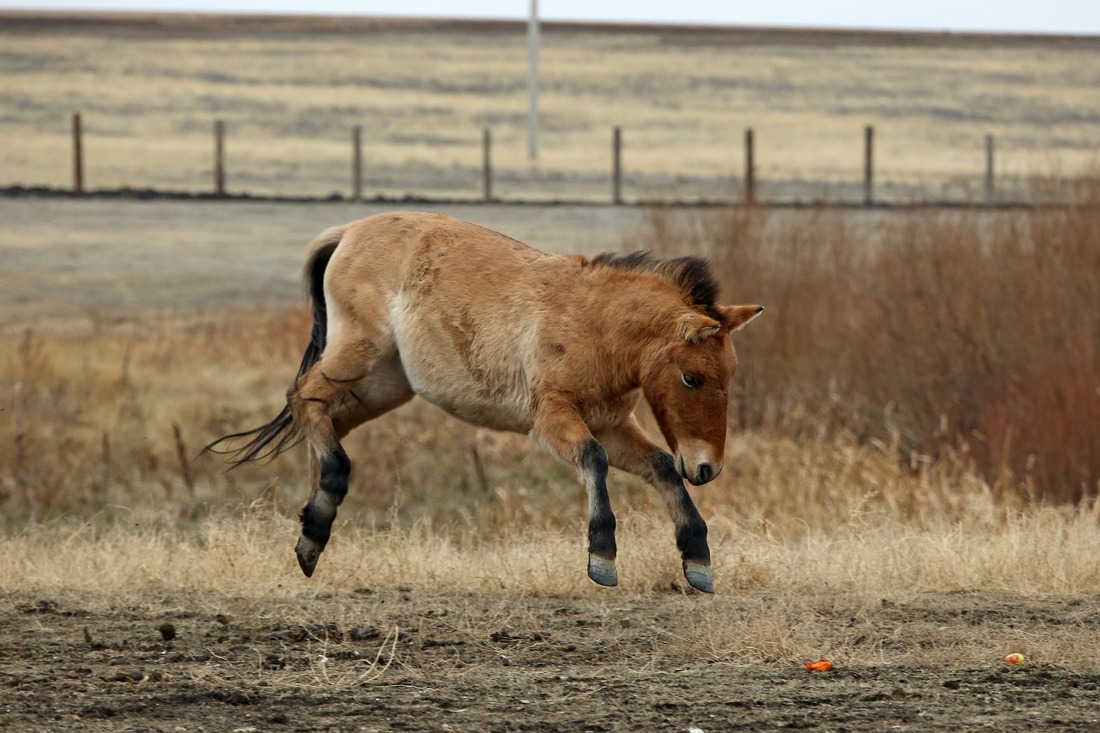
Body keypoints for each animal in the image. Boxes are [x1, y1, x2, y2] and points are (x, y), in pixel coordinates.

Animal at [212, 208, 765, 589]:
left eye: (731, 373)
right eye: (692, 378)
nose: (707, 468)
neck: (592, 323)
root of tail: (347, 231)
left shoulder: (613, 425)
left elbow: (661, 468)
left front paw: (697, 560)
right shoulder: (553, 420)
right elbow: (593, 459)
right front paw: (602, 556)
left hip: (384, 385)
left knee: (325, 420)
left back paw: (313, 531)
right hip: (356, 357)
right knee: (304, 400)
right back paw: (321, 510)